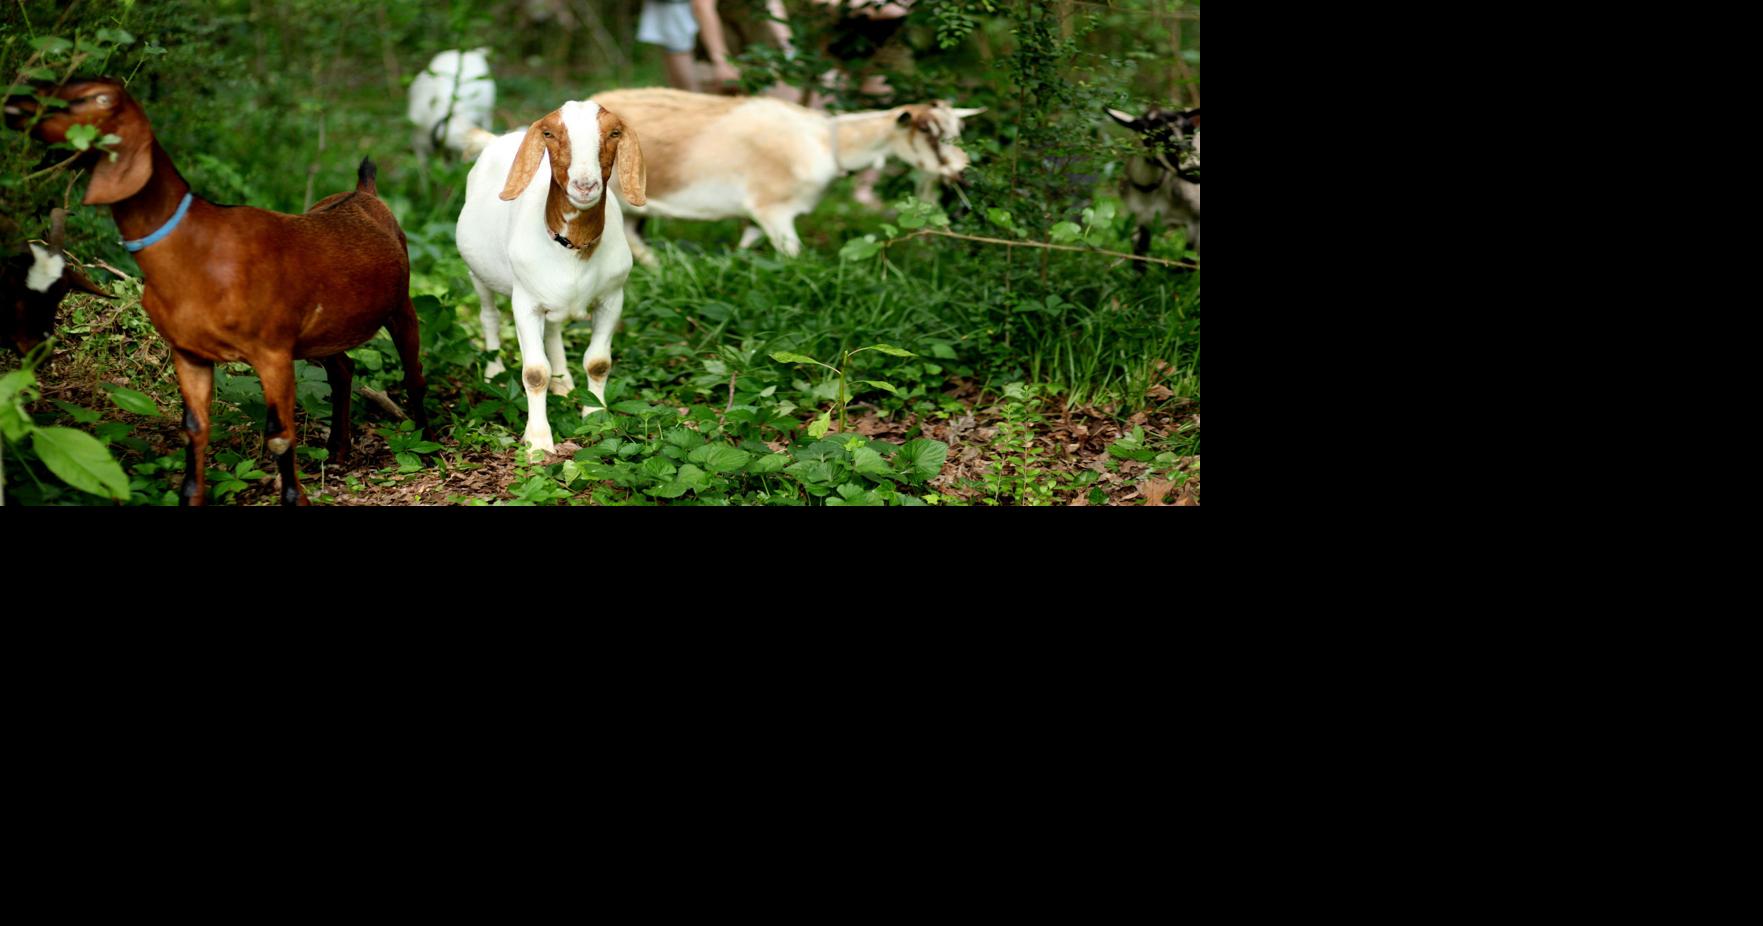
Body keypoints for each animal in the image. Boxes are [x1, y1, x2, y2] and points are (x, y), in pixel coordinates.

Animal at [455, 99, 645, 455]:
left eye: (614, 132)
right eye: (549, 134)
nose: (584, 186)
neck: (573, 248)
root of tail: (496, 139)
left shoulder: (613, 299)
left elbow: (598, 362)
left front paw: (595, 417)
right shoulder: (525, 304)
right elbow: (533, 372)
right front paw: (538, 442)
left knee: (555, 328)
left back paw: (563, 382)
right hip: (477, 274)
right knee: (488, 316)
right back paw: (493, 371)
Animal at [588, 88, 982, 262]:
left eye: (959, 127)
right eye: (927, 130)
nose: (962, 170)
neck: (824, 141)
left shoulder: (756, 216)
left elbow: (747, 245)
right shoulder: (772, 208)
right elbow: (793, 255)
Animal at [1106, 106, 1200, 259]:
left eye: (1190, 132)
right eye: (1153, 133)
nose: (1194, 169)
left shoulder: (1196, 226)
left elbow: (1186, 263)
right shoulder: (1142, 222)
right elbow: (1139, 259)